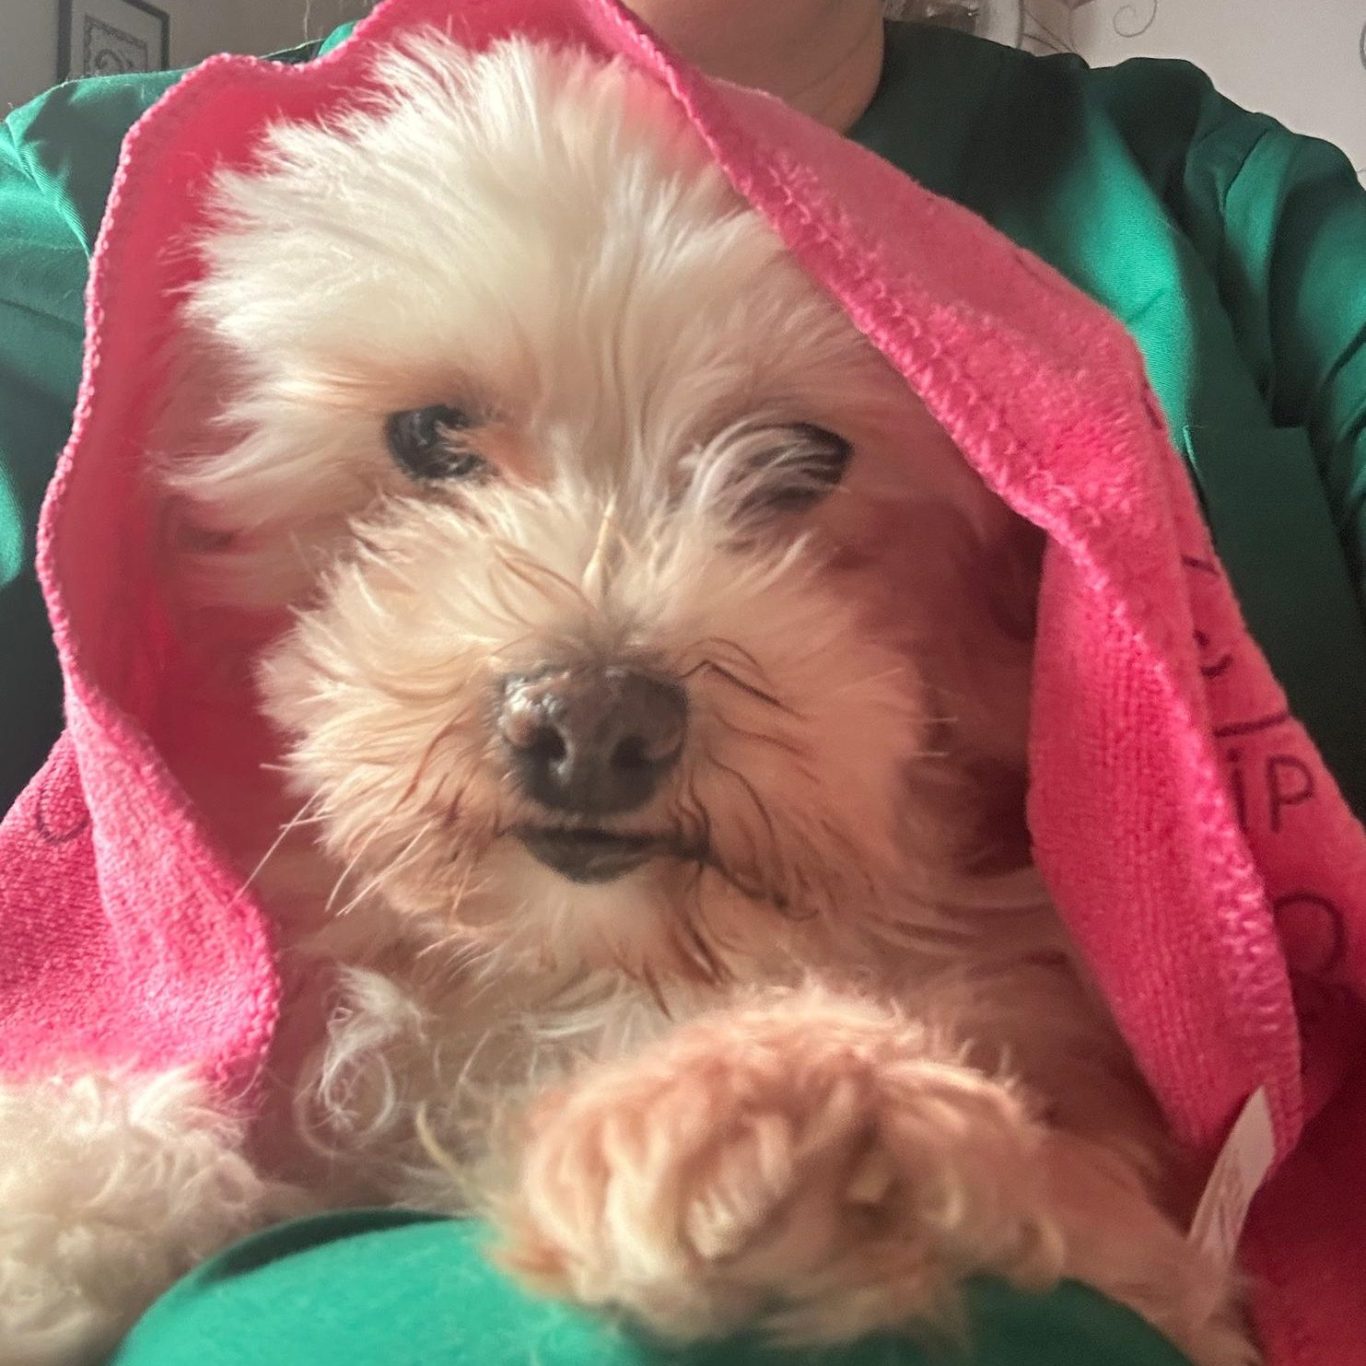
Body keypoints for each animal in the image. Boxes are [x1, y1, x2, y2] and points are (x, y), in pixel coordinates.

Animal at [0, 32, 1258, 1366]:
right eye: (429, 433)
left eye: (804, 458)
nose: (591, 725)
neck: (574, 973)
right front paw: (51, 1202)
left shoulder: (1163, 1260)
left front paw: (767, 1110)